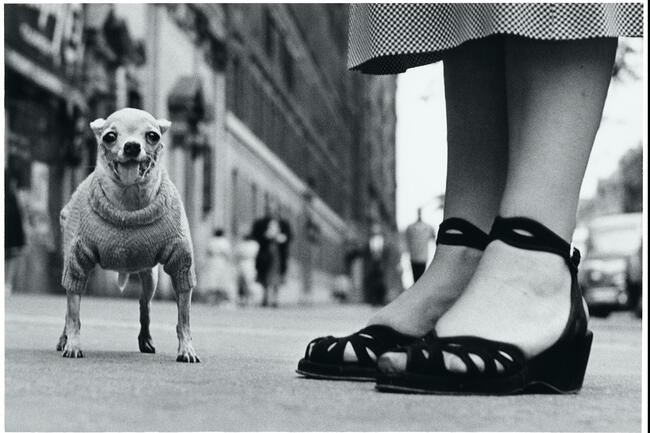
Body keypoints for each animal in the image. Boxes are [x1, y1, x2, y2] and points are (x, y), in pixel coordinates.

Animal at [58, 107, 200, 362]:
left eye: (152, 136)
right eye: (110, 137)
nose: (132, 146)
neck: (129, 201)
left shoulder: (181, 265)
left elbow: (184, 318)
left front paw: (187, 348)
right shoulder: (76, 264)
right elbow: (74, 313)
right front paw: (72, 343)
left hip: (150, 277)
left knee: (145, 305)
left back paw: (146, 339)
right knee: (69, 307)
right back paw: (63, 339)